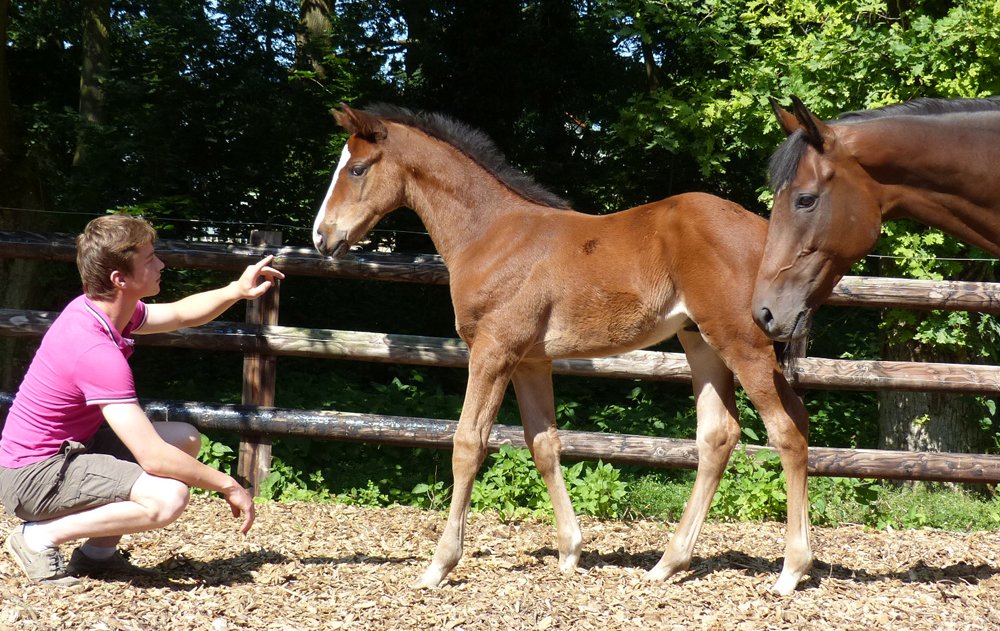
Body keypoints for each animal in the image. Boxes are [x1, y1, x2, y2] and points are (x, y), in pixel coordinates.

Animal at [312, 104, 812, 595]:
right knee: (720, 435)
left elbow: (468, 444)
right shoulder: (530, 361)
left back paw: (792, 569)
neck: (491, 233)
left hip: (741, 342)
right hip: (700, 342)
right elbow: (544, 444)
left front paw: (439, 565)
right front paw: (570, 552)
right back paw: (668, 564)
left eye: (356, 168)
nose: (322, 237)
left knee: (787, 431)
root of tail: (766, 231)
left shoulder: (493, 351)